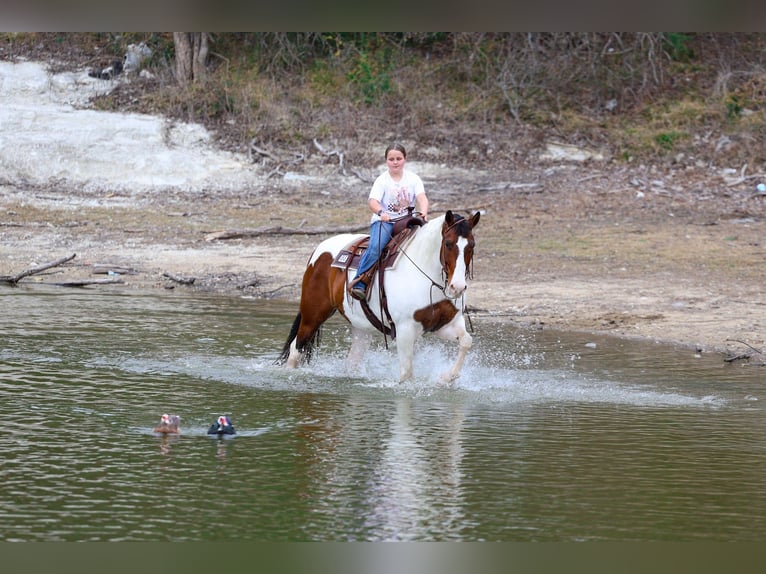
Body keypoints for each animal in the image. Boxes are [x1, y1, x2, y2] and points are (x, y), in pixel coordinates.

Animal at [276, 210, 480, 382]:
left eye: (472, 245)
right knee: (296, 349)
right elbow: (407, 374)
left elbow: (466, 341)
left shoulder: (443, 323)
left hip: (360, 327)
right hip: (312, 316)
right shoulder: (405, 329)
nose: (457, 287)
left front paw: (447, 377)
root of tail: (319, 250)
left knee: (352, 361)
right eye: (448, 243)